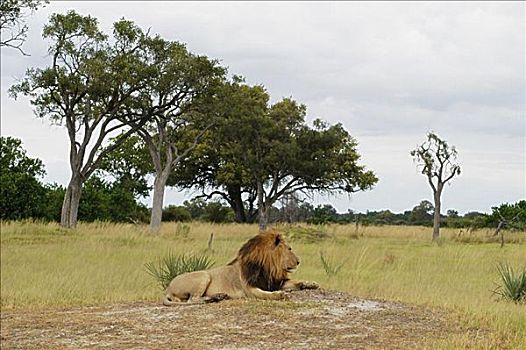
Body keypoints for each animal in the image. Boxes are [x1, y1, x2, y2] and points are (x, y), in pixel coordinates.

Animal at [165, 228, 320, 304]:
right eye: (289, 249)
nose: (299, 261)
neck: (268, 267)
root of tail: (168, 288)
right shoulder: (250, 289)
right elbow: (265, 294)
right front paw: (280, 295)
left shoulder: (275, 282)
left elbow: (297, 282)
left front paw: (311, 283)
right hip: (204, 275)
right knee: (193, 299)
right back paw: (215, 298)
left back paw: (219, 296)